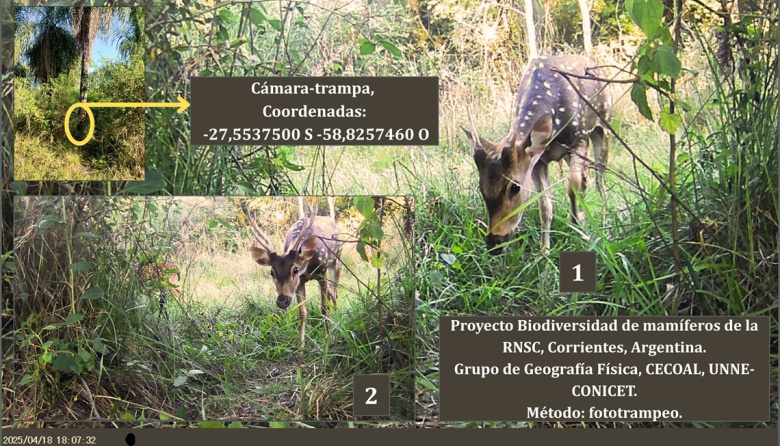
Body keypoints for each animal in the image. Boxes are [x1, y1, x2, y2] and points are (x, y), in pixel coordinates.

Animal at [244, 202, 344, 346]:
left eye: (295, 269)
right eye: (272, 272)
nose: (282, 301)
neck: (307, 267)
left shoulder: (322, 273)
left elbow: (324, 308)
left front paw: (329, 337)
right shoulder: (300, 282)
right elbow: (302, 313)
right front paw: (301, 346)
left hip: (336, 261)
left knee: (335, 291)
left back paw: (337, 318)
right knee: (332, 291)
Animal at [463, 54, 612, 254]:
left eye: (515, 187)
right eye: (481, 187)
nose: (494, 242)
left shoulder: (579, 138)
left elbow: (572, 183)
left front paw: (576, 227)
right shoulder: (538, 160)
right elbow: (545, 205)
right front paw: (544, 253)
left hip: (602, 127)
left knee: (600, 179)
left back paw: (604, 222)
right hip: (568, 154)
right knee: (587, 178)